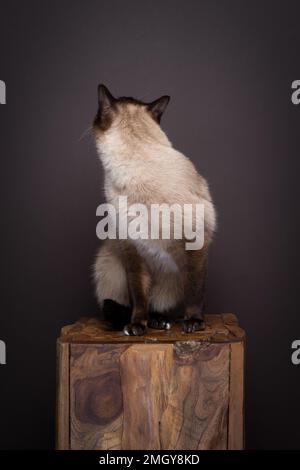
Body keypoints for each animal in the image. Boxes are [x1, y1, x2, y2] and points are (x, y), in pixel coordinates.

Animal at [92, 84, 216, 334]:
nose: (193, 322)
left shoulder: (195, 240)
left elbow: (195, 291)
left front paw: (193, 322)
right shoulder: (132, 248)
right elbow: (139, 295)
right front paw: (137, 325)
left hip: (170, 278)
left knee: (162, 303)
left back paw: (161, 321)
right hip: (108, 259)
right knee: (120, 305)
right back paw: (149, 322)